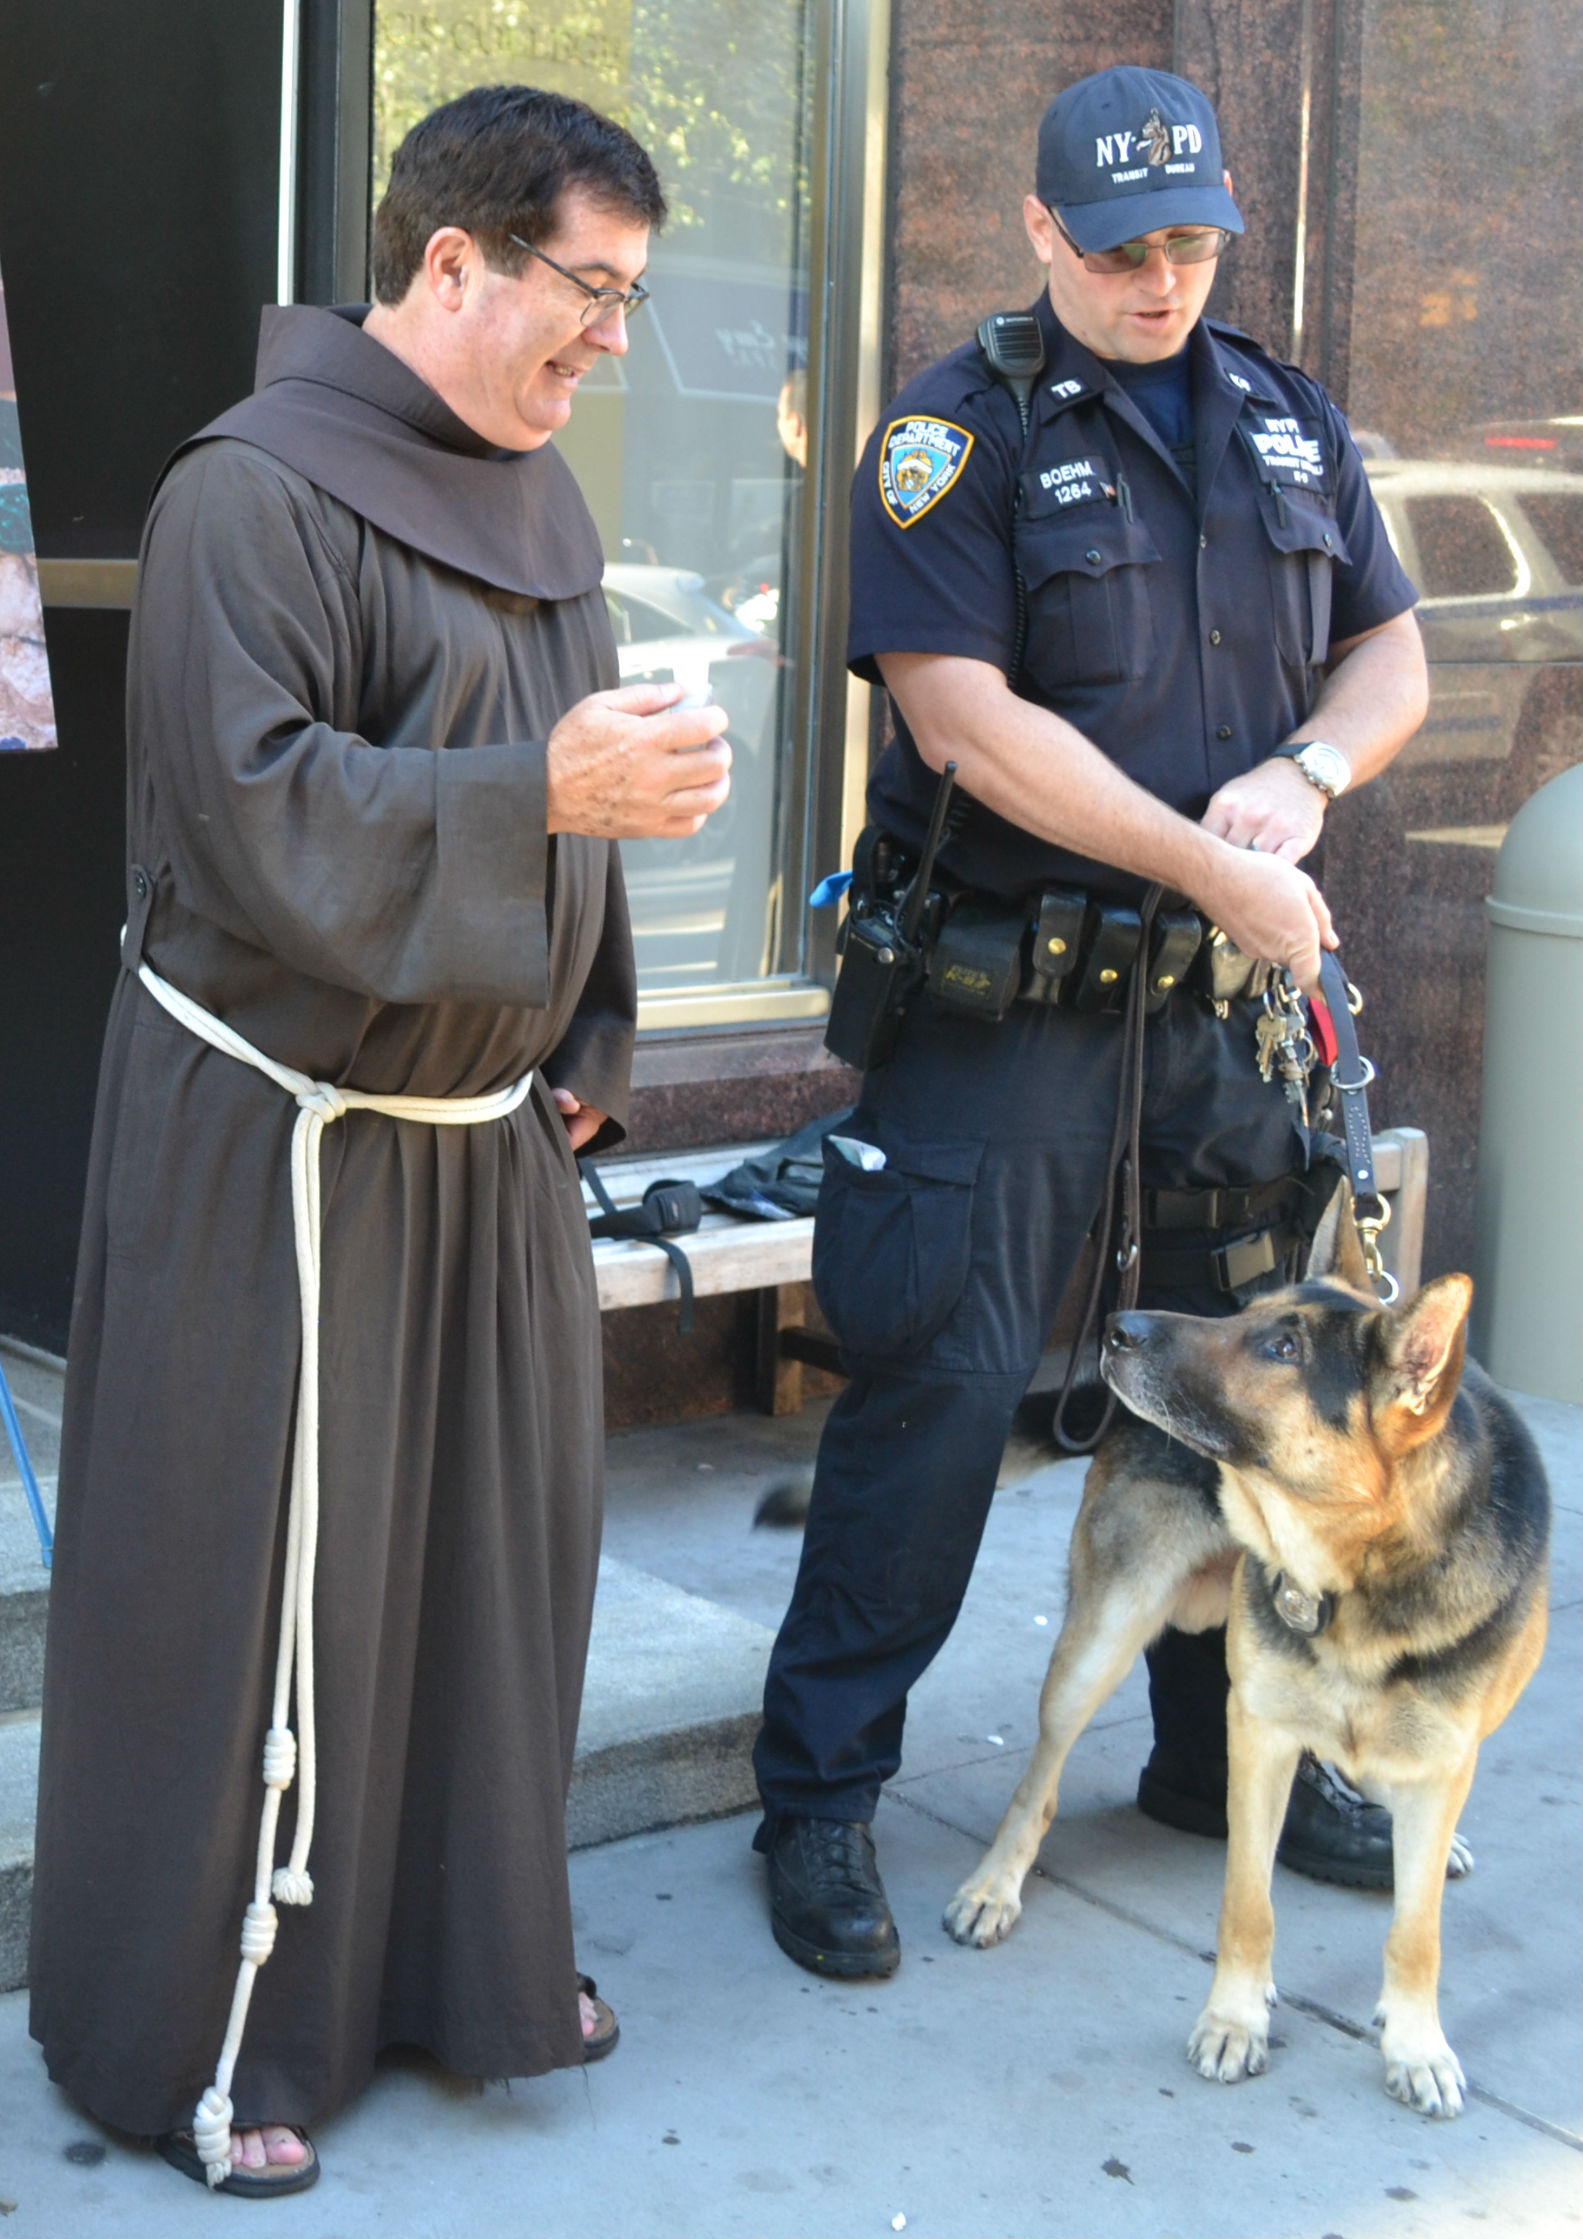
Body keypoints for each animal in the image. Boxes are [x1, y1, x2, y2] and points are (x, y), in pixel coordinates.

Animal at [949, 1191, 1558, 2113]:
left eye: (1282, 1349)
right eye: (1247, 1313)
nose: (1117, 1326)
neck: (1357, 1575)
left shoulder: (1442, 1759)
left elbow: (1416, 1931)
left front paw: (1416, 2042)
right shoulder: (1259, 1732)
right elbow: (1246, 1900)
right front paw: (1235, 2019)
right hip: (1098, 1646)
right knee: (1038, 1785)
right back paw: (994, 1884)